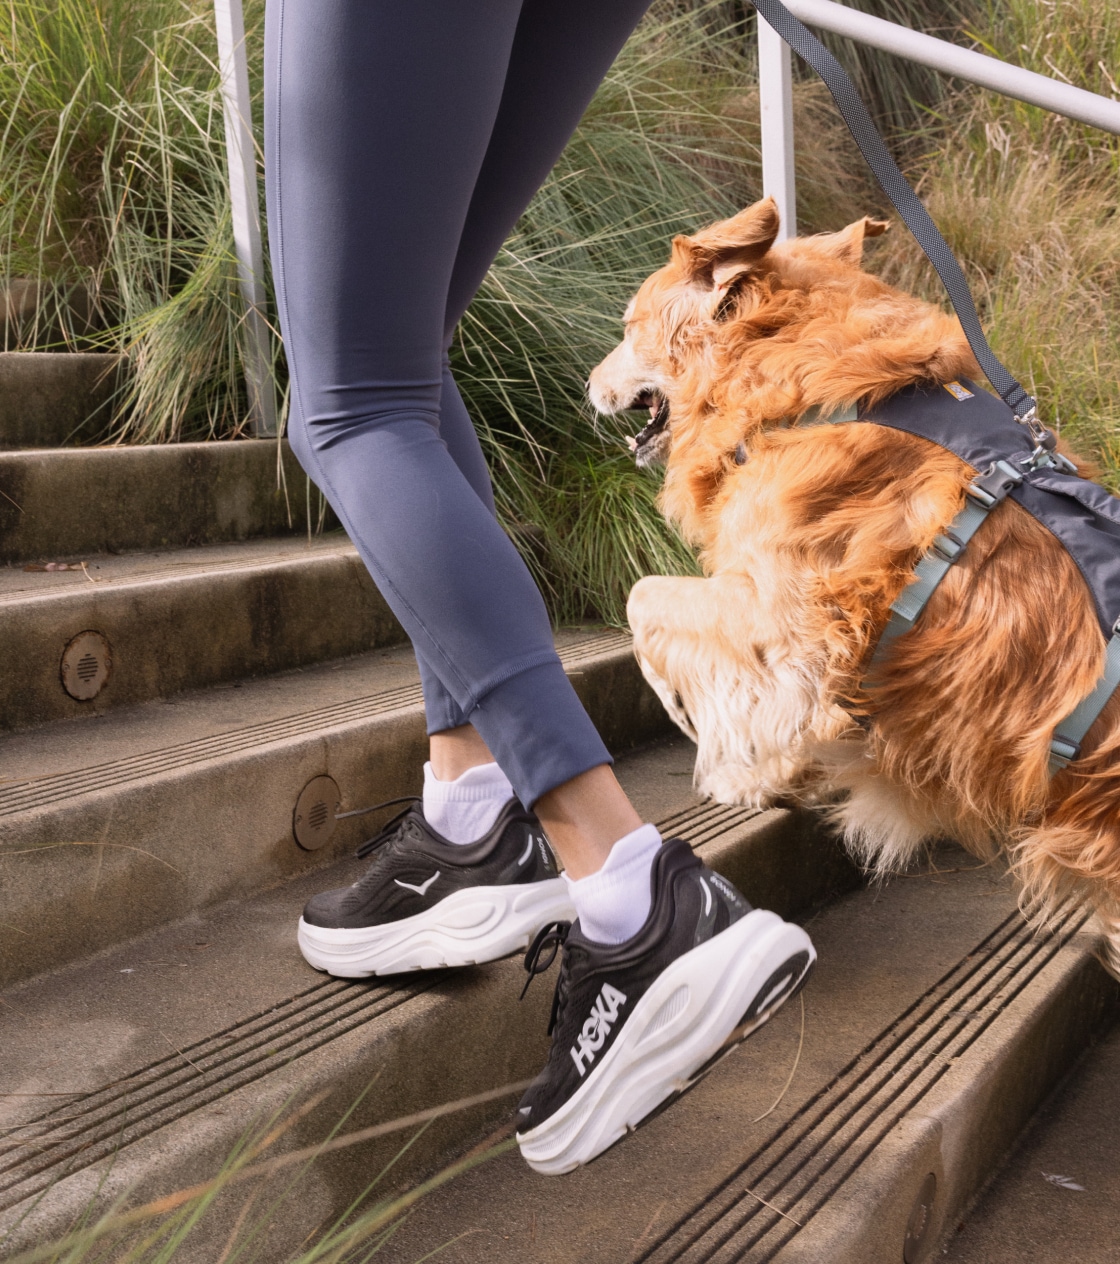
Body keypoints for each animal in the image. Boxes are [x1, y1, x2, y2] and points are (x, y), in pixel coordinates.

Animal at [586, 197, 1120, 965]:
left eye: (630, 326)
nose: (586, 385)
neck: (798, 389)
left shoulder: (791, 627)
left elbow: (646, 603)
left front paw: (724, 754)